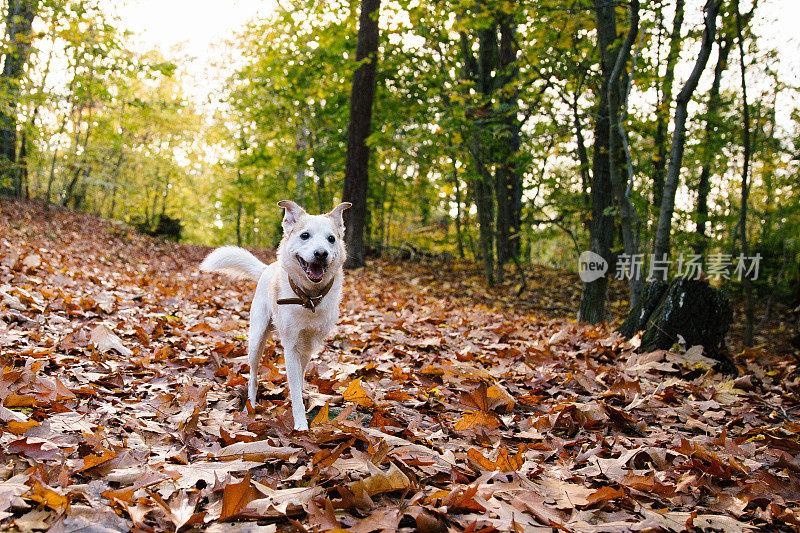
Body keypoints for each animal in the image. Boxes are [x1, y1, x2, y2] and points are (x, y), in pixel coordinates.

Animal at [200, 200, 350, 428]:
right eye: (305, 235)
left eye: (331, 239)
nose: (321, 253)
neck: (308, 298)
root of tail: (266, 269)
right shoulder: (291, 347)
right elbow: (294, 388)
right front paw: (300, 424)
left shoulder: (308, 347)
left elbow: (299, 379)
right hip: (256, 340)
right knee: (253, 376)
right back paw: (250, 405)